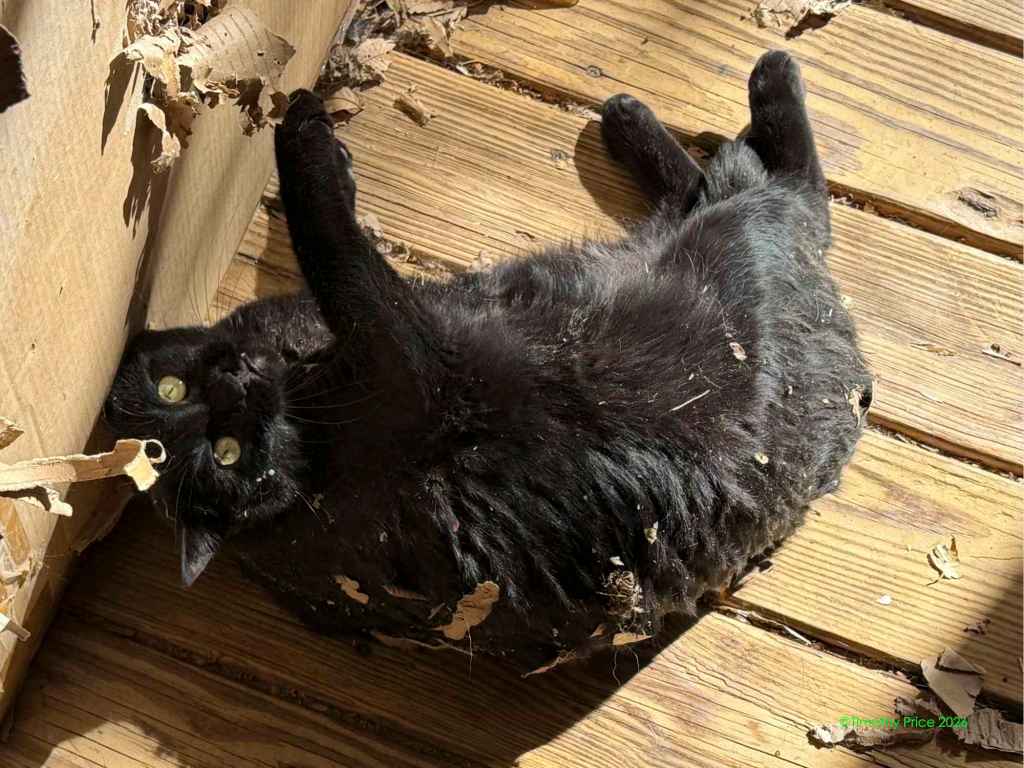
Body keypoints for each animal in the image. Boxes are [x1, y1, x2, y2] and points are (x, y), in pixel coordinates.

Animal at [105, 50, 872, 674]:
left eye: (171, 387)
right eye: (226, 454)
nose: (234, 382)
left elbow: (326, 230)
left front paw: (318, 140)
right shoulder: (403, 347)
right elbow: (329, 234)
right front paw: (305, 128)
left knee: (718, 186)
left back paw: (628, 120)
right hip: (737, 246)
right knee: (790, 188)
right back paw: (761, 78)